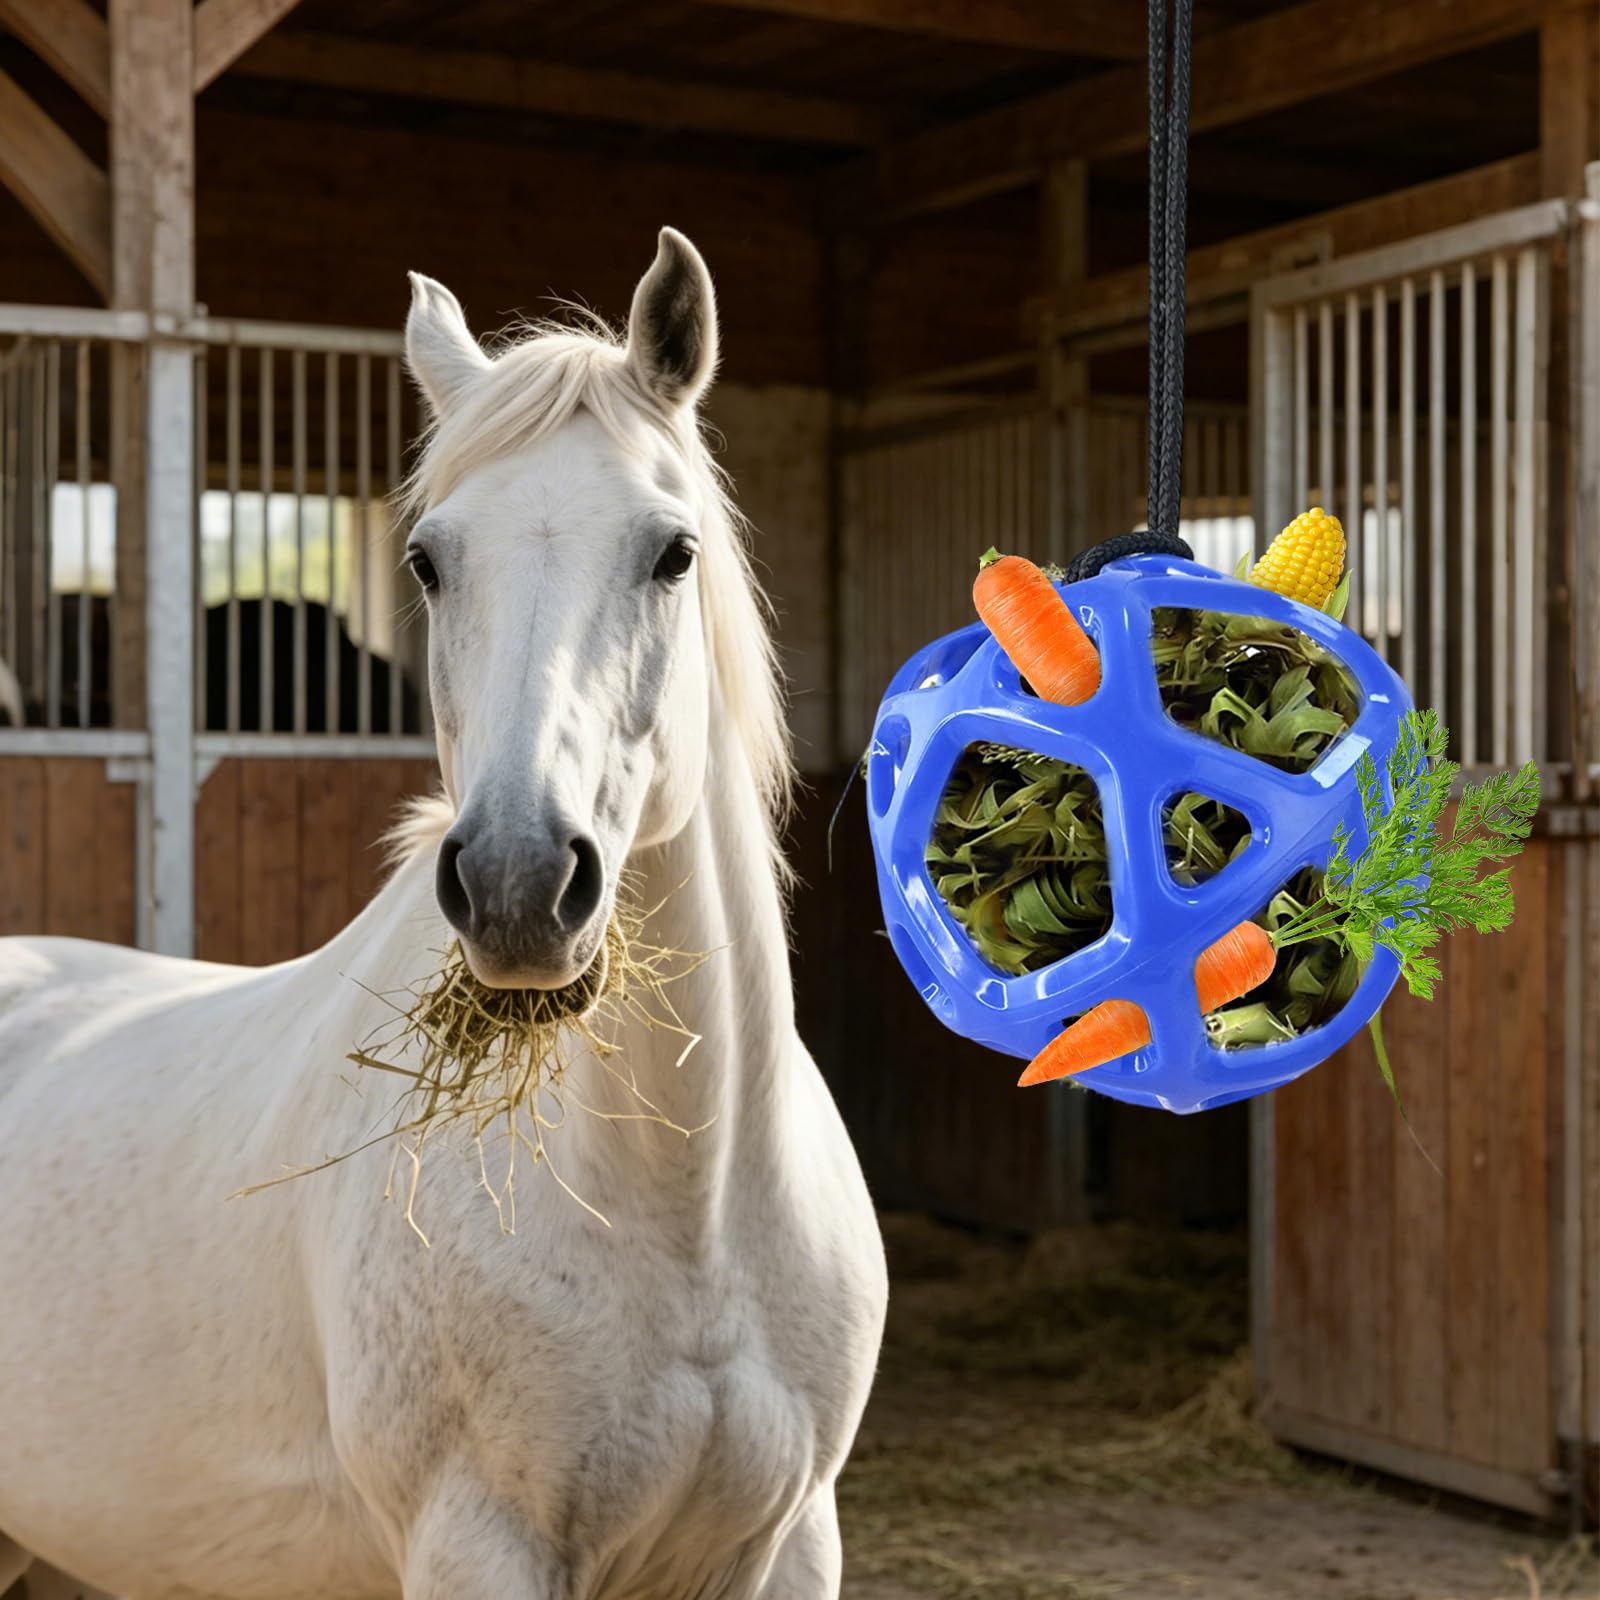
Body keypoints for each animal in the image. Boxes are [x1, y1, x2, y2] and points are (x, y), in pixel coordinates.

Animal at [0, 229, 887, 1600]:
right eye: (427, 558)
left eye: (672, 552)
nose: (520, 882)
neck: (688, 1214)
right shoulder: (479, 1541)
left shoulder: (790, 1541)